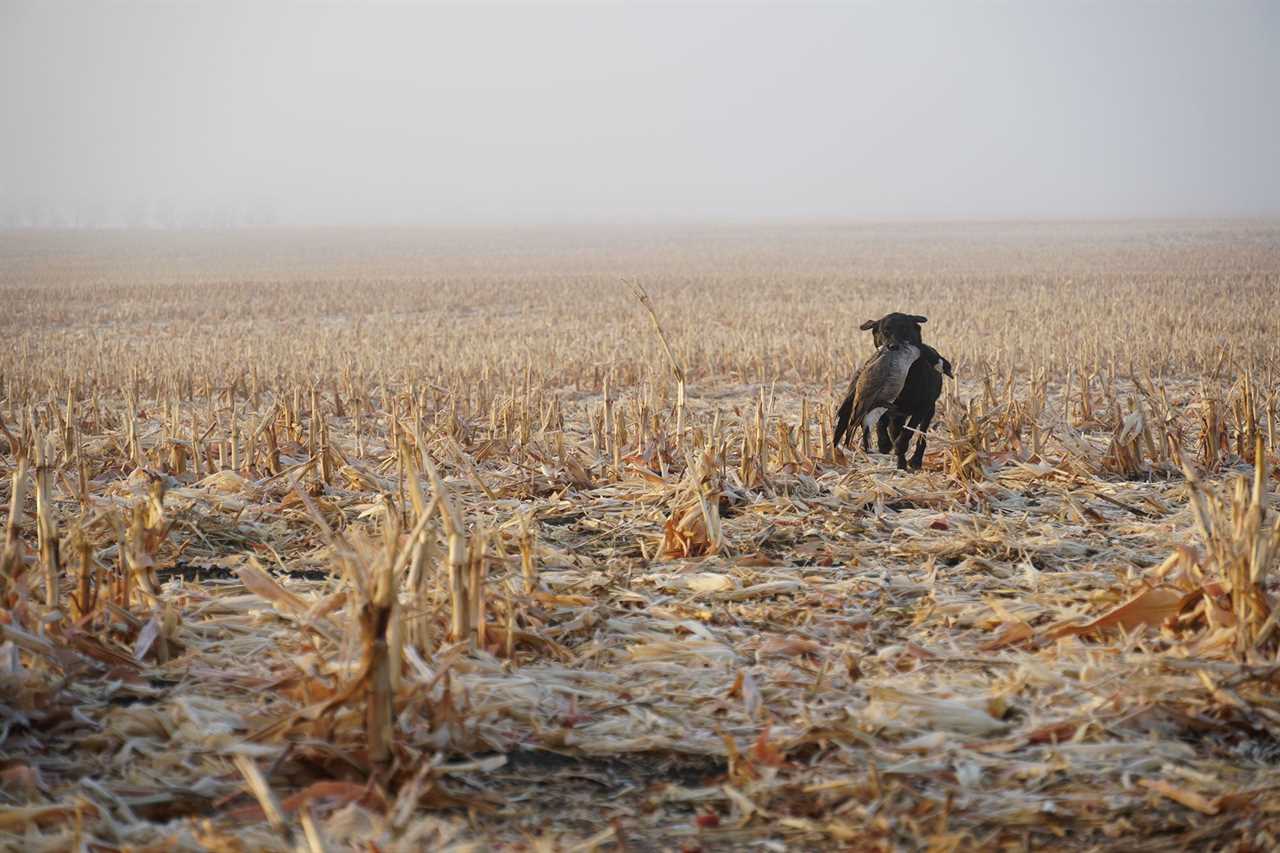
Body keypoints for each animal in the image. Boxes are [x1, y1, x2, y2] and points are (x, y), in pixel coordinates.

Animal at [834, 312, 957, 468]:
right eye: (884, 331)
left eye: (905, 330)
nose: (892, 347)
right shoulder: (892, 412)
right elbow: (887, 429)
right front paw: (887, 448)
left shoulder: (921, 408)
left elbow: (906, 435)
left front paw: (902, 457)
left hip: (928, 410)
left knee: (920, 436)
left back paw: (914, 460)